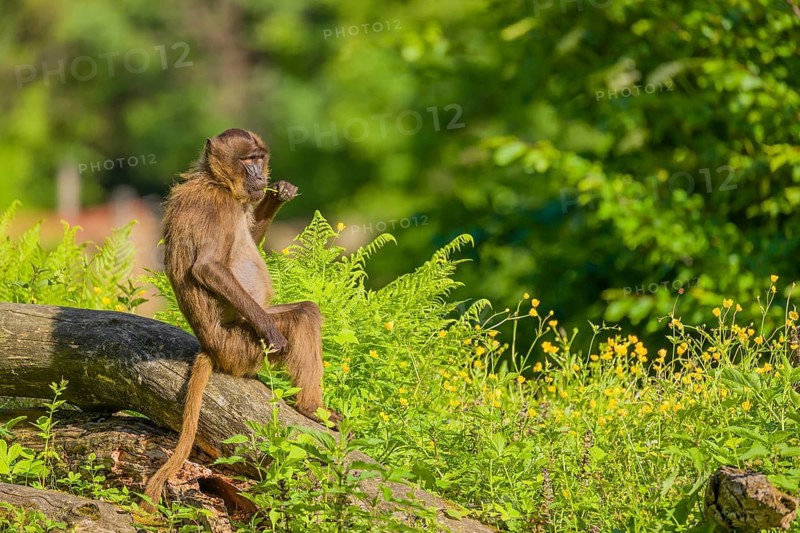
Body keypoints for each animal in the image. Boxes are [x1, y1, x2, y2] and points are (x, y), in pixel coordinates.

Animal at [144, 128, 340, 511]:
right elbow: (207, 266)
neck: (215, 181)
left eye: (260, 159)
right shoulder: (216, 206)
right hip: (241, 345)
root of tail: (211, 349)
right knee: (299, 320)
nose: (259, 176)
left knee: (307, 310)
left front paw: (280, 194)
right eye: (247, 160)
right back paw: (311, 409)